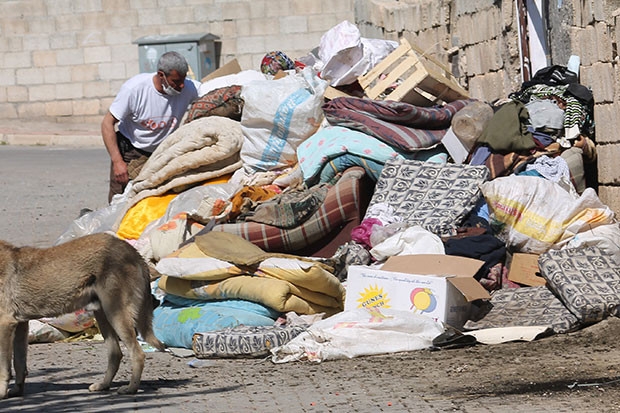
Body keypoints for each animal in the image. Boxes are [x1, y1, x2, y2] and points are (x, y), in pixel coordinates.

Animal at [0, 232, 165, 396]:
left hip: (116, 314)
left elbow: (4, 368)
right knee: (116, 354)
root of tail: (132, 251)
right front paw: (16, 390)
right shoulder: (20, 325)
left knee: (138, 354)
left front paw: (2, 393)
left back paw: (131, 388)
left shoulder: (6, 325)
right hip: (103, 316)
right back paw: (104, 385)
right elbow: (19, 363)